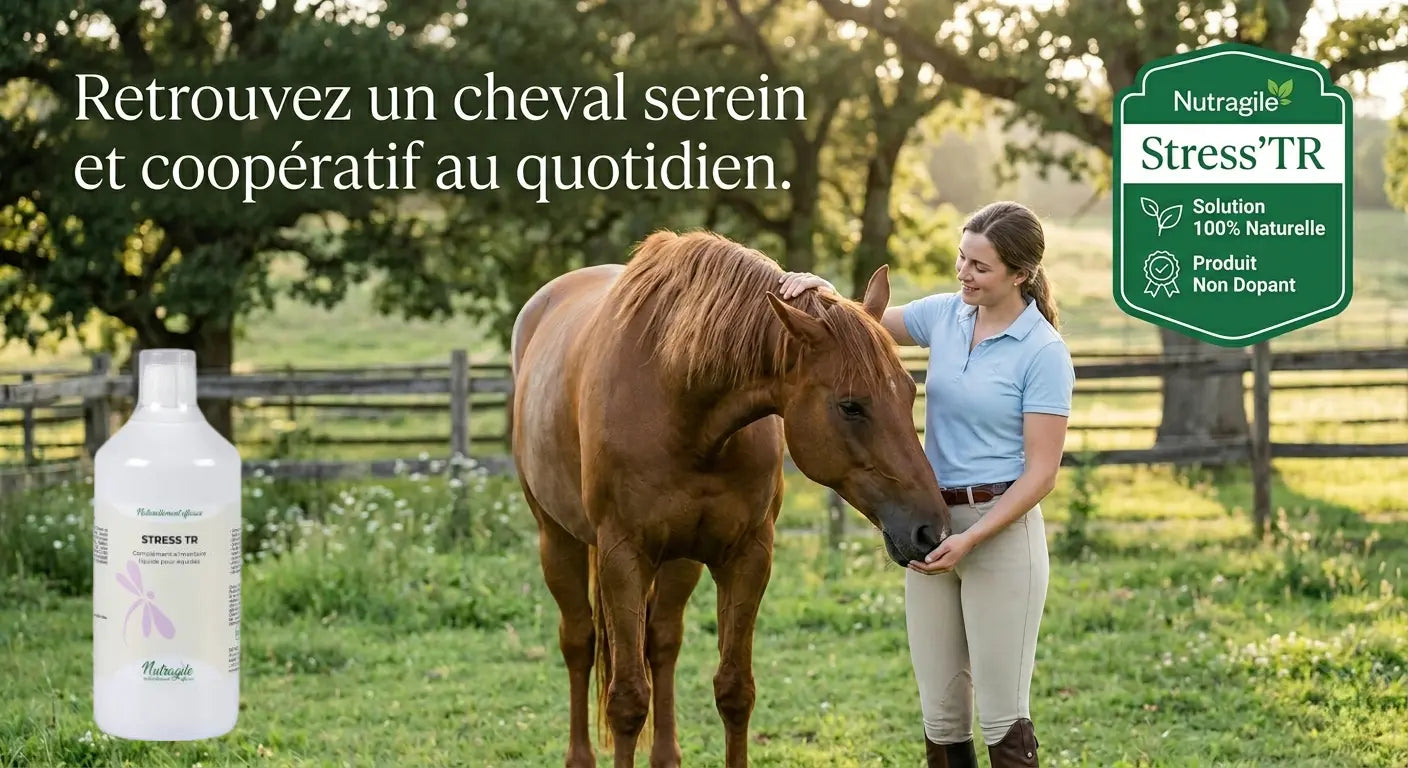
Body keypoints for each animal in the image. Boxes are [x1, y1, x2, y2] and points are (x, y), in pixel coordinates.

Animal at [509, 230, 951, 767]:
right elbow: (628, 700)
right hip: (558, 539)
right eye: (850, 405)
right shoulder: (622, 558)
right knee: (578, 641)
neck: (678, 399)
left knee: (663, 642)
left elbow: (735, 690)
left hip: (679, 560)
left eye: (909, 391)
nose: (931, 529)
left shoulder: (747, 556)